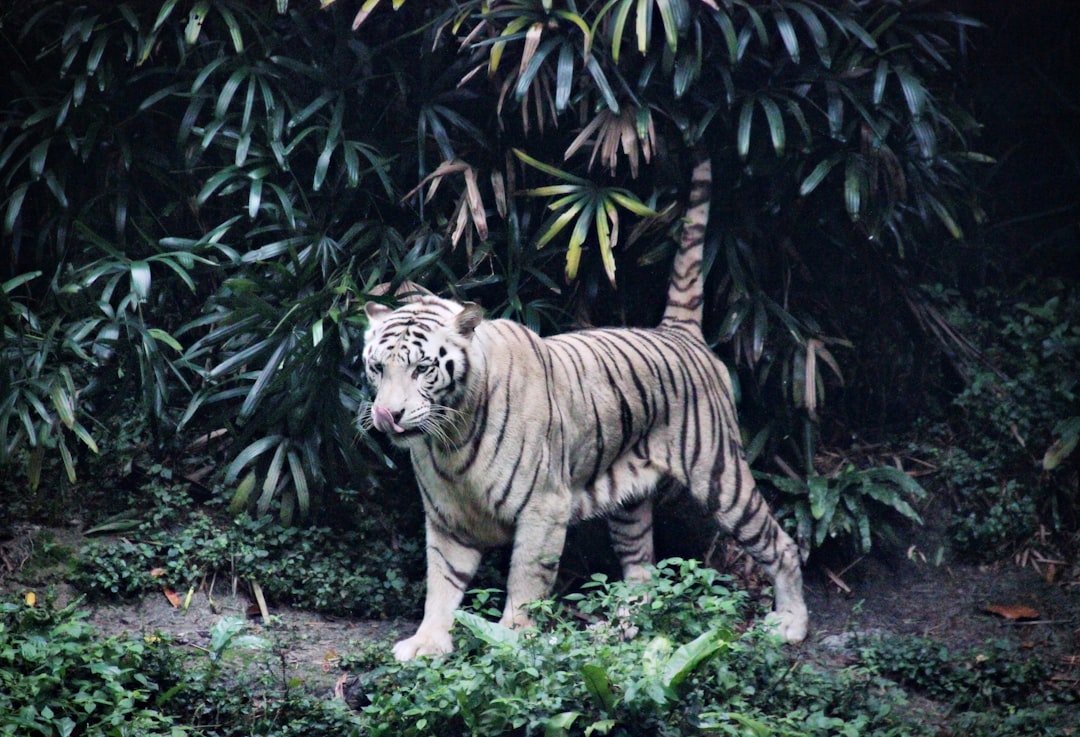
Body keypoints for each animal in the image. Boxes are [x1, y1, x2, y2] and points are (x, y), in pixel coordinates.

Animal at [360, 153, 808, 661]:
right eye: (377, 368)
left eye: (421, 369)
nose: (387, 415)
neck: (449, 440)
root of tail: (678, 332)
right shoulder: (447, 518)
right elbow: (441, 584)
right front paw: (427, 643)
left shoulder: (544, 507)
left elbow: (526, 581)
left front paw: (512, 641)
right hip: (630, 507)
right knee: (642, 571)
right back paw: (623, 629)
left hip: (719, 473)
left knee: (780, 543)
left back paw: (791, 623)